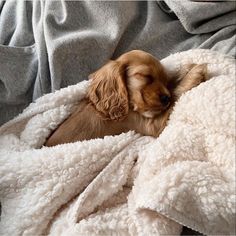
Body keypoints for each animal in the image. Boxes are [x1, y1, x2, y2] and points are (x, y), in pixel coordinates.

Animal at [44, 49, 206, 146]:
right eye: (146, 76)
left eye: (164, 80)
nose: (165, 98)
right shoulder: (147, 124)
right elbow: (176, 95)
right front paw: (194, 73)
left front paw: (185, 68)